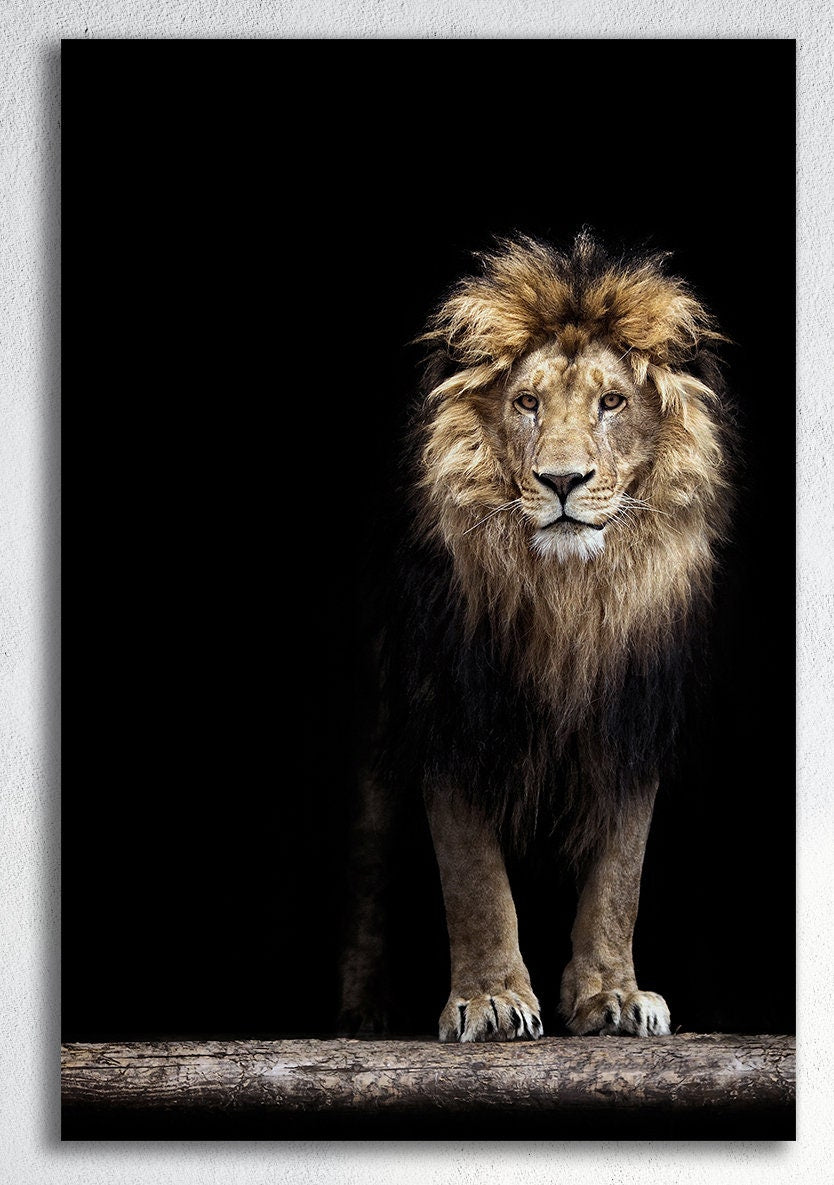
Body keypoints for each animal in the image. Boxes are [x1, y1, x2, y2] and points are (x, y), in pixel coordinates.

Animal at [339, 230, 734, 1042]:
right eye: (527, 403)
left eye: (612, 402)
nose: (561, 480)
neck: (567, 600)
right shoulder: (452, 707)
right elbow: (474, 876)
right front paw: (491, 1000)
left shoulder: (630, 716)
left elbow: (620, 874)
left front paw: (613, 995)